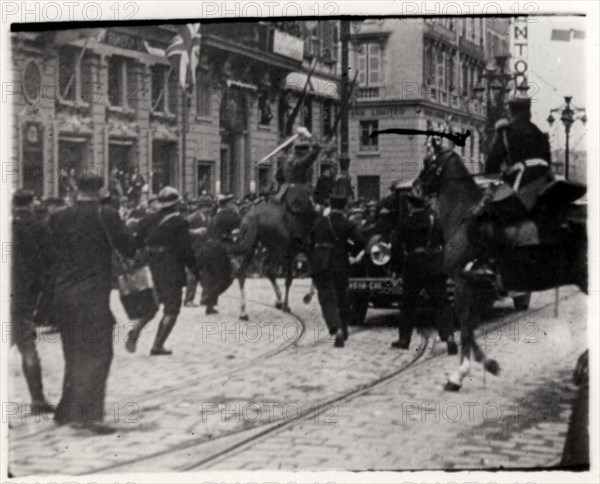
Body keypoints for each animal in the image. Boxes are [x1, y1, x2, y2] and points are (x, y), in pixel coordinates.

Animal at [414, 149, 588, 392]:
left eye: (428, 163)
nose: (414, 190)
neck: (463, 217)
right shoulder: (478, 288)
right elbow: (470, 327)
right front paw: (485, 365)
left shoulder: (463, 284)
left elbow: (465, 326)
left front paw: (461, 374)